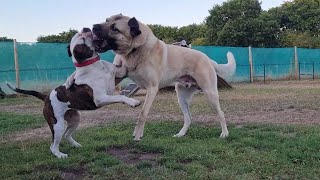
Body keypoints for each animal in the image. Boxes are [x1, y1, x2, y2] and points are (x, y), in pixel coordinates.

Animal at [6, 27, 141, 158]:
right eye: (81, 40)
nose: (86, 28)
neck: (95, 66)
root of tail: (46, 97)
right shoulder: (100, 99)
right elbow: (120, 96)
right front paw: (133, 102)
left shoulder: (119, 75)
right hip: (57, 125)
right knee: (53, 145)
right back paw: (60, 155)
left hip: (75, 119)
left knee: (66, 135)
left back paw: (76, 145)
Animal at [92, 14, 235, 141]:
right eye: (106, 20)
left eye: (114, 28)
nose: (93, 27)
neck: (135, 49)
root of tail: (208, 59)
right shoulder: (119, 74)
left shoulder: (152, 88)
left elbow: (143, 113)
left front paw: (138, 134)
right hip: (181, 97)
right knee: (188, 118)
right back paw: (180, 134)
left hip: (210, 94)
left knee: (221, 114)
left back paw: (224, 134)